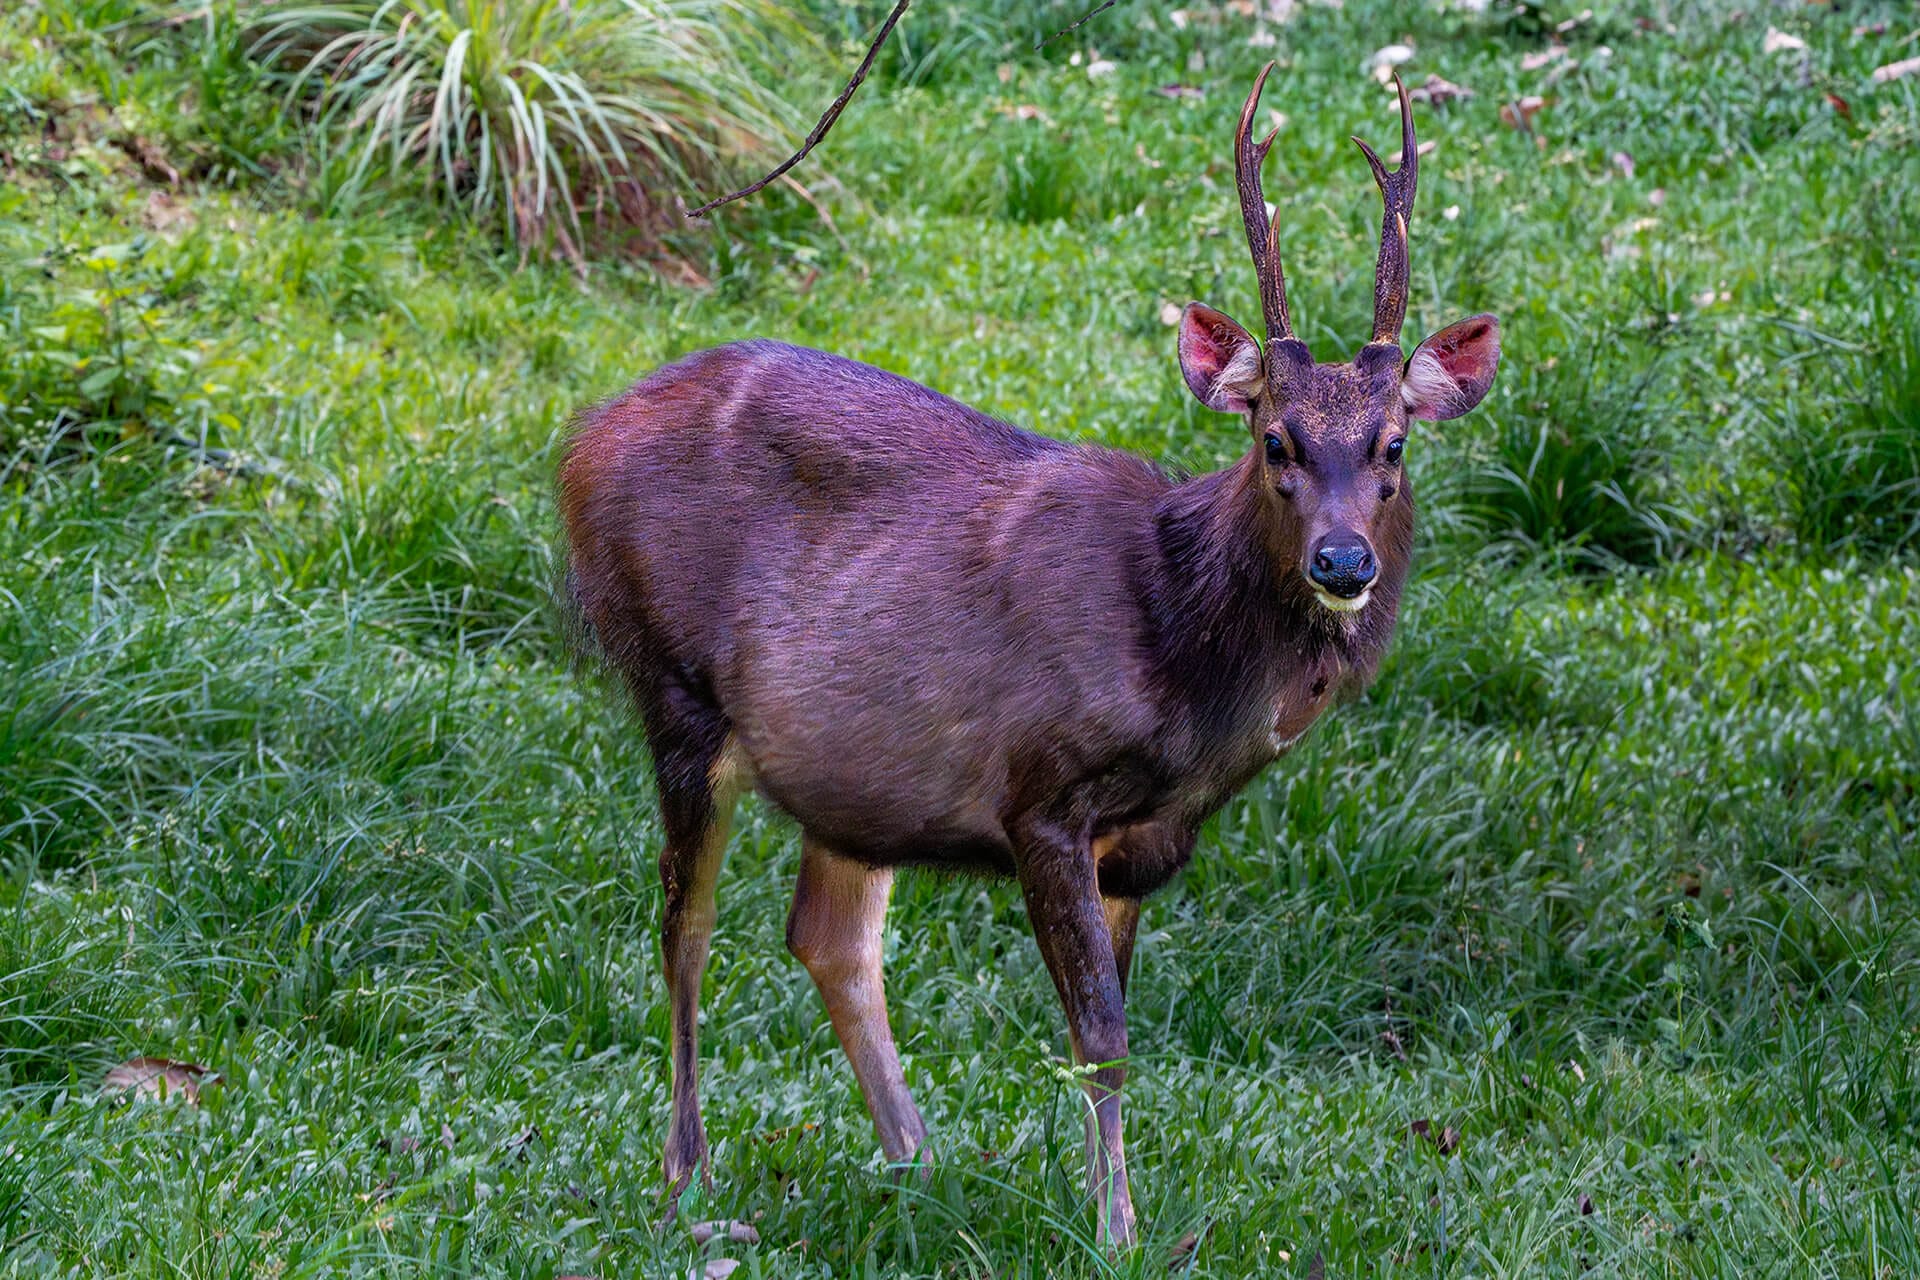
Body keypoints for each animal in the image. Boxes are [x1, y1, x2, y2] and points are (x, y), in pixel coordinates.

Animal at [556, 64, 1500, 1247]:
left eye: (1395, 446)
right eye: (1275, 439)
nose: (1342, 560)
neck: (1177, 651)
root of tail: (578, 441)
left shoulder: (1143, 841)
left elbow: (1114, 1031)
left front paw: (1107, 1210)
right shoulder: (1039, 789)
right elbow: (1101, 1038)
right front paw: (1118, 1231)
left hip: (853, 765)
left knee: (827, 935)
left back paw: (918, 1165)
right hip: (674, 684)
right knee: (684, 925)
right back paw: (689, 1181)